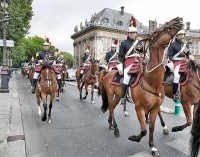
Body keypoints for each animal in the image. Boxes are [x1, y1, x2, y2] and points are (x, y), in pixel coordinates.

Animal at [99, 16, 184, 156]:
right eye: (159, 29)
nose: (178, 19)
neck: (151, 81)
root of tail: (107, 74)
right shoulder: (139, 108)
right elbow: (143, 130)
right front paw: (134, 138)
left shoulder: (154, 108)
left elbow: (151, 128)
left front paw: (153, 147)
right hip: (110, 94)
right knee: (111, 107)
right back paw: (116, 128)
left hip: (118, 95)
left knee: (112, 107)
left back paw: (111, 124)